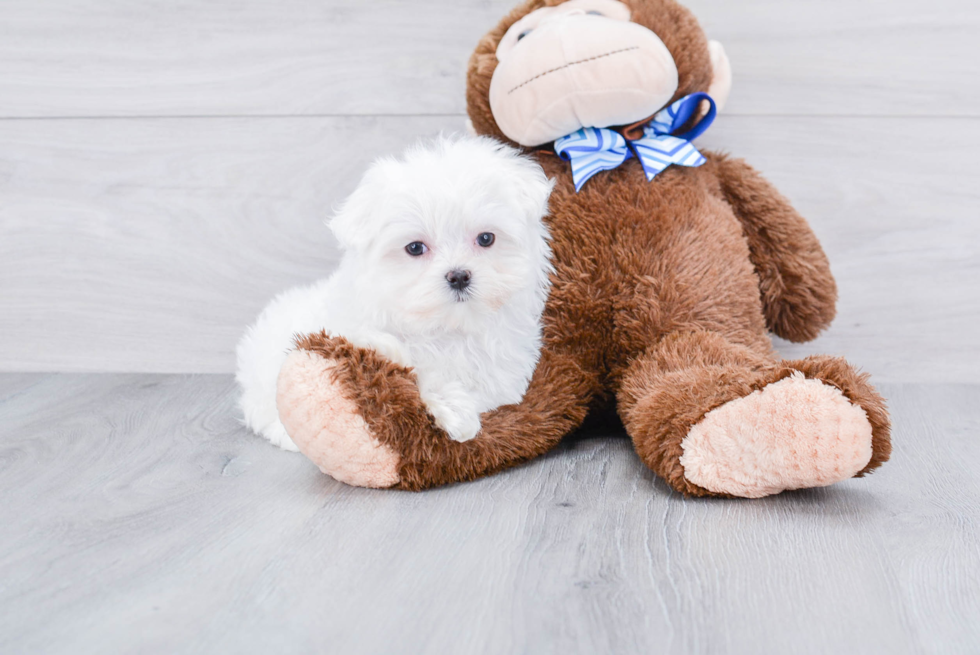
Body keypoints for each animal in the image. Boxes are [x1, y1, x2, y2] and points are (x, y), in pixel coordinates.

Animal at [234, 135, 556, 452]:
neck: (447, 329)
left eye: (486, 238)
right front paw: (449, 405)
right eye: (415, 247)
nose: (458, 276)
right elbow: (401, 358)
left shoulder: (502, 375)